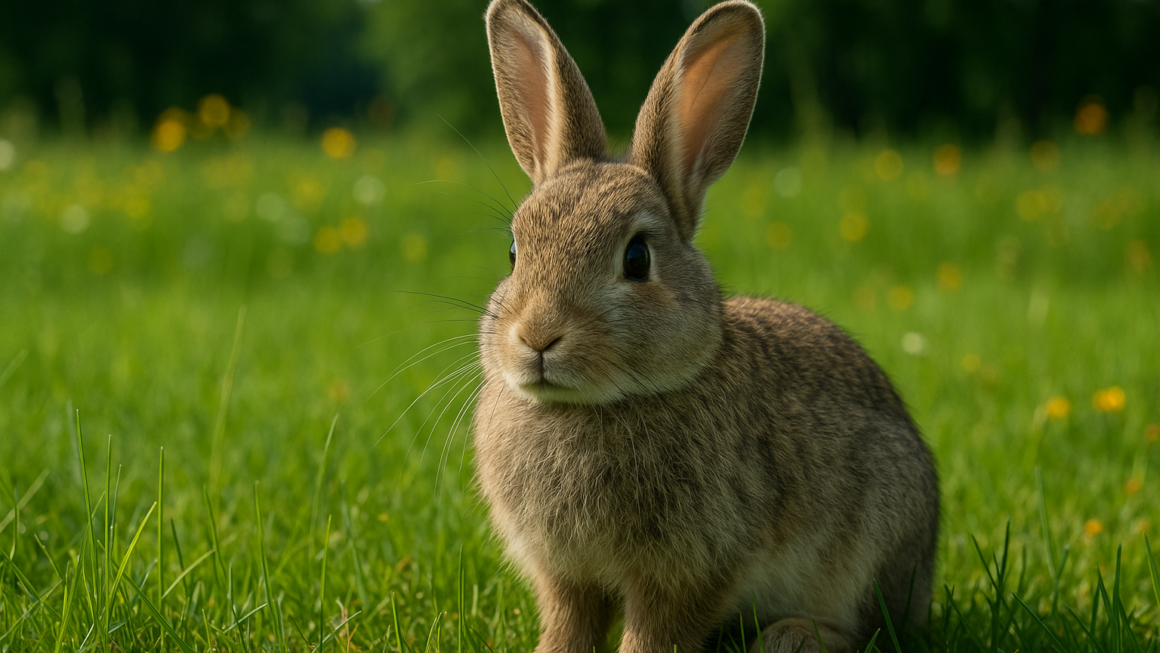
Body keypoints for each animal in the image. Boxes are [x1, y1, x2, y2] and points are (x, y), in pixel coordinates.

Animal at [472, 1, 940, 652]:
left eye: (637, 258)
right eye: (515, 252)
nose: (538, 336)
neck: (587, 408)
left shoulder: (691, 569)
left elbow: (655, 631)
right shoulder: (565, 573)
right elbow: (568, 622)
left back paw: (792, 637)